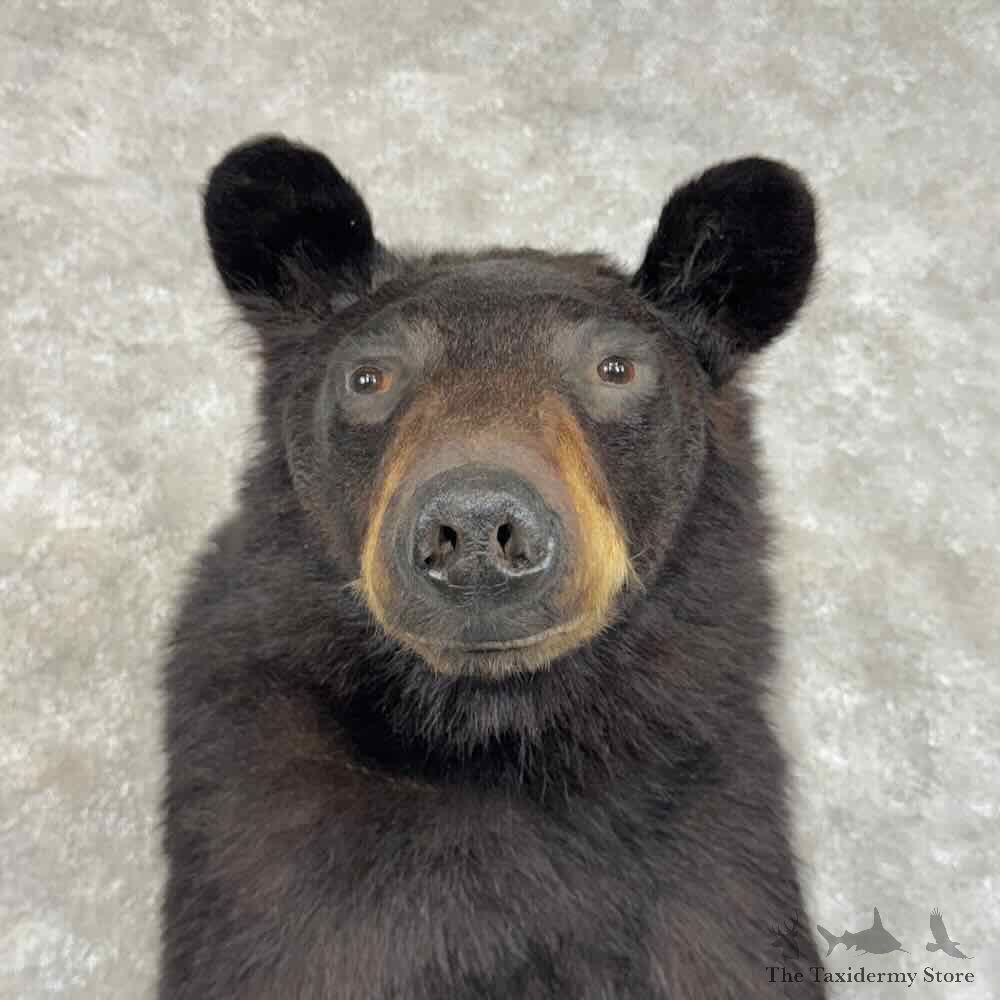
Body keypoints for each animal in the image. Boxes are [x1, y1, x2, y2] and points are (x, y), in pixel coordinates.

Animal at [160, 135, 823, 999]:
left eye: (617, 369)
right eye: (369, 376)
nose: (476, 528)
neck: (492, 734)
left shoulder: (716, 863)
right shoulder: (263, 868)